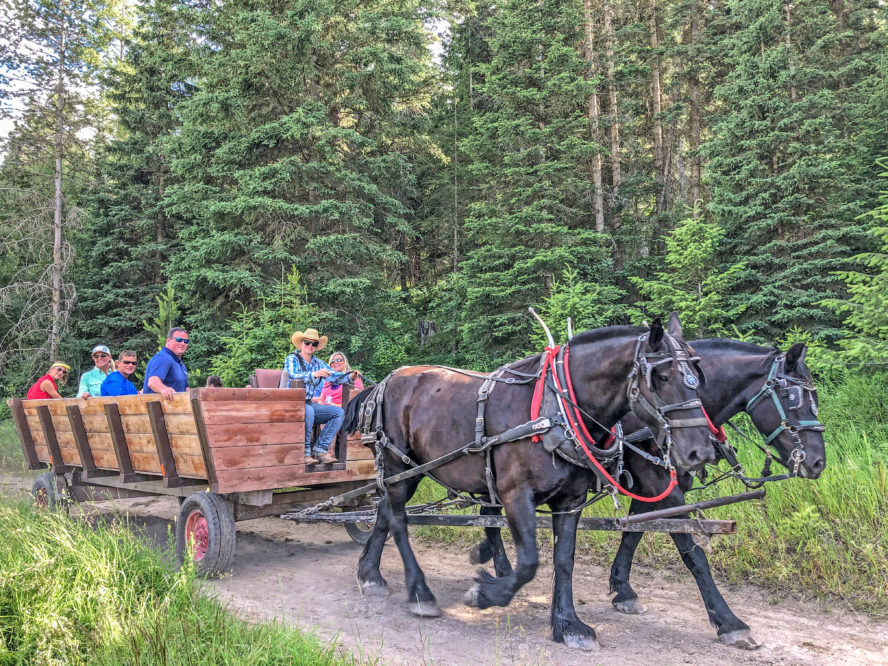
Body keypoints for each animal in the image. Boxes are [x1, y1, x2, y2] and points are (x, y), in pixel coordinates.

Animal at [344, 314, 720, 650]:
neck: (556, 410)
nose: (700, 451)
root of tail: (383, 383)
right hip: (398, 466)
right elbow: (529, 563)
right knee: (399, 522)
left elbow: (563, 560)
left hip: (406, 471)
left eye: (698, 377)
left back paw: (370, 573)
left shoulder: (570, 500)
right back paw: (419, 592)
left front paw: (568, 624)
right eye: (662, 376)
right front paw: (486, 593)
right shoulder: (515, 494)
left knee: (384, 512)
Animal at [469, 338, 826, 649]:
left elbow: (633, 534)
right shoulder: (658, 485)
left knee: (489, 514)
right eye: (792, 397)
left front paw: (623, 589)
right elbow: (692, 553)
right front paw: (729, 622)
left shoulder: (648, 490)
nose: (818, 461)